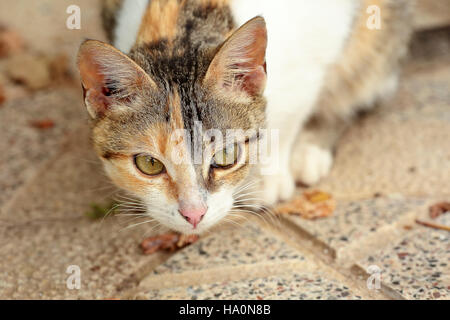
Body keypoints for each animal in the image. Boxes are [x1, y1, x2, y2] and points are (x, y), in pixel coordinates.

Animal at [76, 0, 412, 235]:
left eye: (226, 156)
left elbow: (290, 119)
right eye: (149, 164)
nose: (194, 214)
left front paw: (269, 178)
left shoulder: (312, 58)